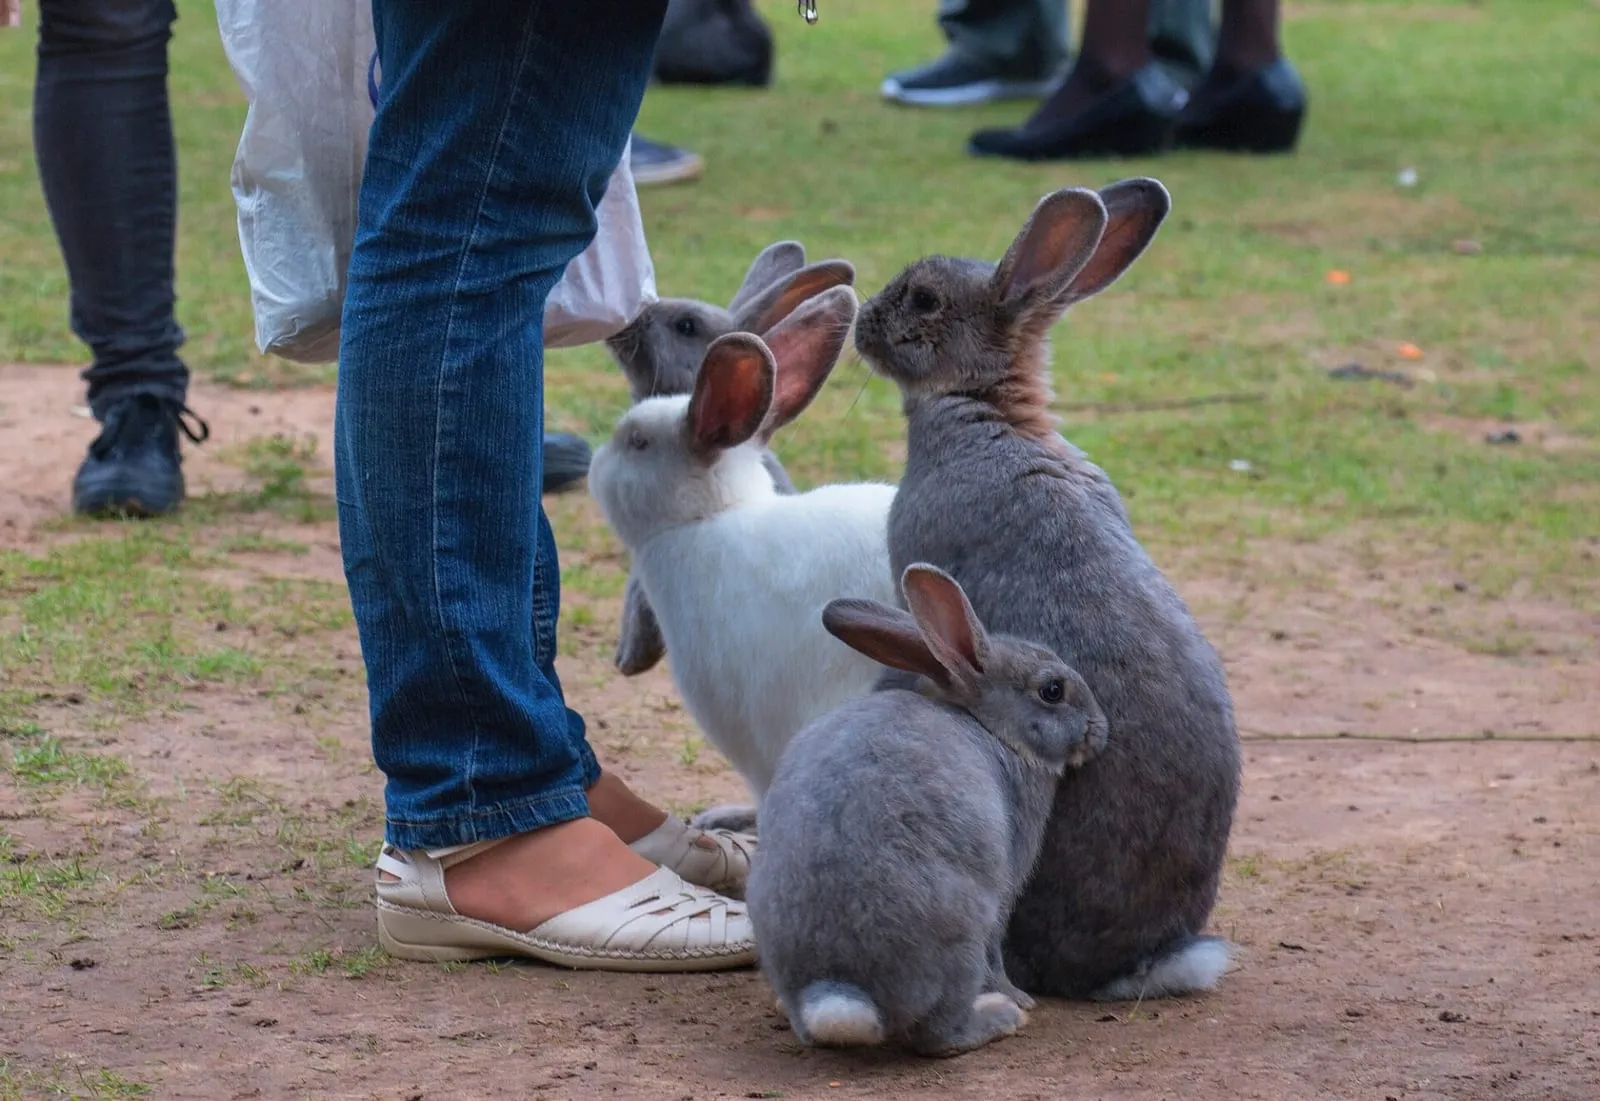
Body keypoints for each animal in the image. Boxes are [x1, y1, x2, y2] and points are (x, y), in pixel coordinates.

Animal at [747, 562, 1109, 1058]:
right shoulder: (1006, 882)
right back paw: (1000, 1016)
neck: (991, 728)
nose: (1101, 730)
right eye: (1052, 690)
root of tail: (841, 992)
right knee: (939, 1036)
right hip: (963, 935)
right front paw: (1019, 998)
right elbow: (999, 947)